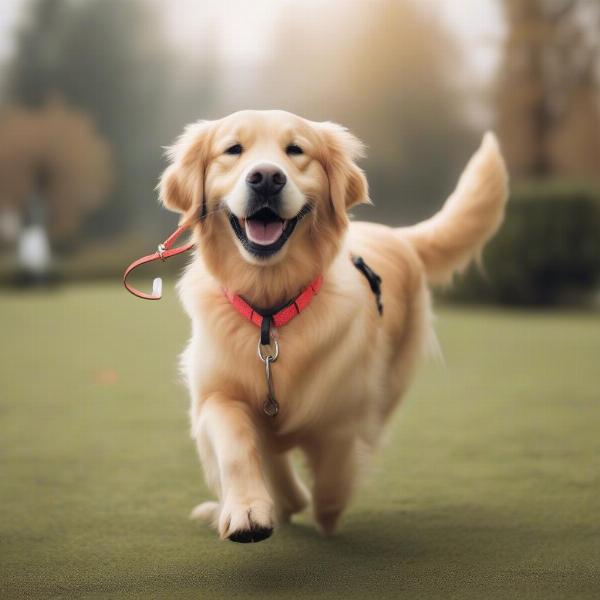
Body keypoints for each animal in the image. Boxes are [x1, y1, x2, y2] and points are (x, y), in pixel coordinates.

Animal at [157, 109, 508, 544]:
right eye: (233, 149)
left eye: (296, 150)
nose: (267, 178)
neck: (271, 313)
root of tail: (395, 233)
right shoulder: (216, 395)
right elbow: (237, 443)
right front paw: (247, 511)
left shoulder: (345, 409)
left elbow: (335, 466)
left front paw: (326, 510)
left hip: (392, 380)